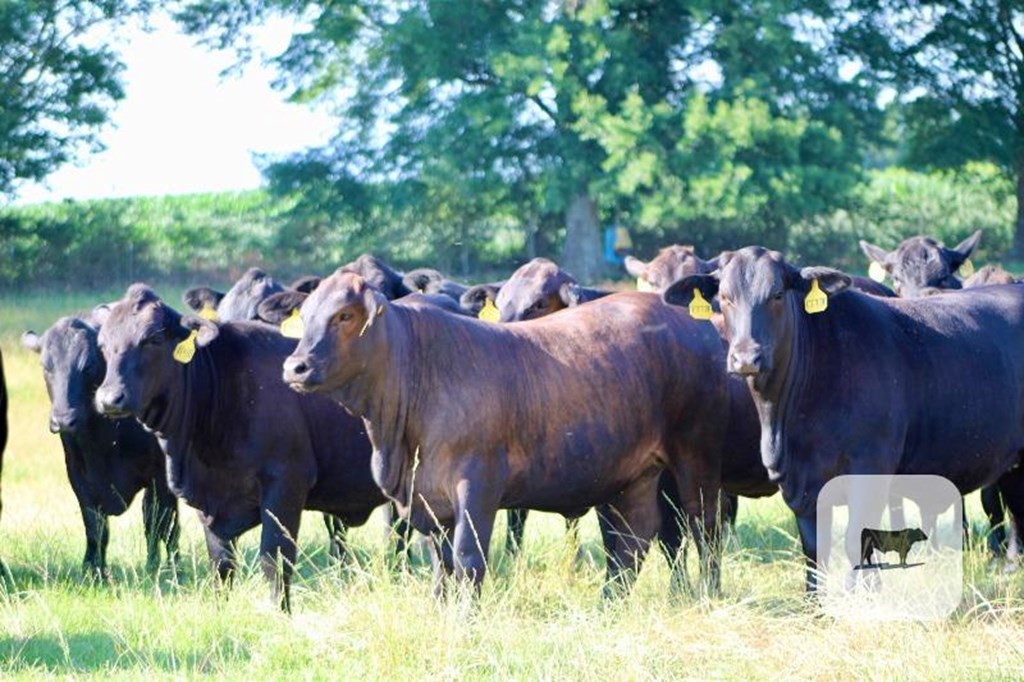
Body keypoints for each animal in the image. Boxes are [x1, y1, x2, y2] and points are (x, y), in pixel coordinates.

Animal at [22, 315, 179, 577]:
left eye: (88, 366)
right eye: (46, 366)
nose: (63, 420)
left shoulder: (160, 477)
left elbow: (159, 524)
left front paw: (162, 569)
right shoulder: (79, 477)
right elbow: (95, 527)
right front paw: (93, 570)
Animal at [94, 284, 387, 606]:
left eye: (153, 339)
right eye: (103, 345)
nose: (109, 399)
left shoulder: (285, 486)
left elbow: (275, 560)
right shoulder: (211, 506)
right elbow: (222, 567)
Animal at [667, 245, 1024, 589]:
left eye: (777, 294)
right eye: (725, 297)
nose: (745, 357)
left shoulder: (870, 471)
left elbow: (857, 540)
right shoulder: (800, 486)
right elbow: (813, 552)